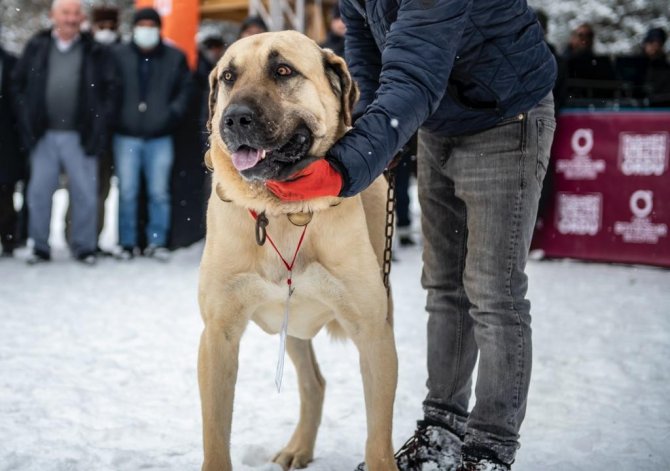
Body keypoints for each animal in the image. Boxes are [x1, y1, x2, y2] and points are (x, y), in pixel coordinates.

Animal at [198, 31, 400, 470]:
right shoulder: (219, 335)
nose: (233, 118)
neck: (281, 212)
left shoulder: (373, 333)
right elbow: (215, 437)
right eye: (228, 77)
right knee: (314, 384)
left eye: (283, 70)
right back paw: (299, 448)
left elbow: (378, 440)